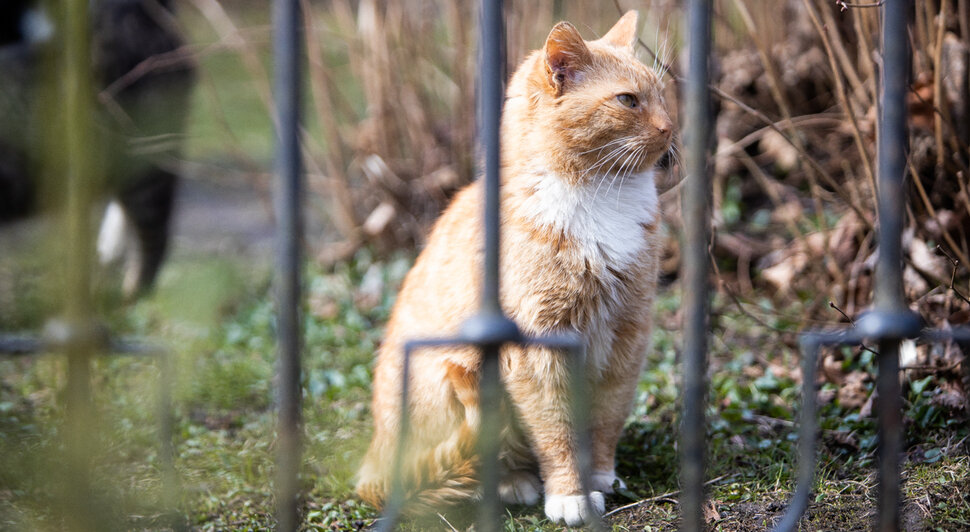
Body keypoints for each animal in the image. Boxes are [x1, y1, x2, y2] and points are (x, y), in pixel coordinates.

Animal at [358, 10, 672, 524]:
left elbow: (606, 417)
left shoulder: (627, 335)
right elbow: (555, 429)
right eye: (628, 100)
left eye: (664, 95)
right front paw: (569, 493)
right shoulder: (538, 348)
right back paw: (515, 482)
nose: (671, 127)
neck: (601, 198)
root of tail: (375, 457)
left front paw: (600, 474)